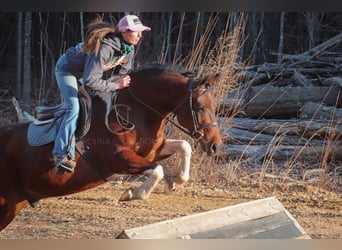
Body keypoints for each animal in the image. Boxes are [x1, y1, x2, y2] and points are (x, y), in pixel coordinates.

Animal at [0, 67, 222, 230]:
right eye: (200, 107)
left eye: (214, 106)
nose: (215, 145)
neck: (135, 111)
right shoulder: (118, 158)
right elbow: (157, 170)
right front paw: (131, 194)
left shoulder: (151, 151)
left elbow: (184, 147)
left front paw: (175, 181)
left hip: (13, 204)